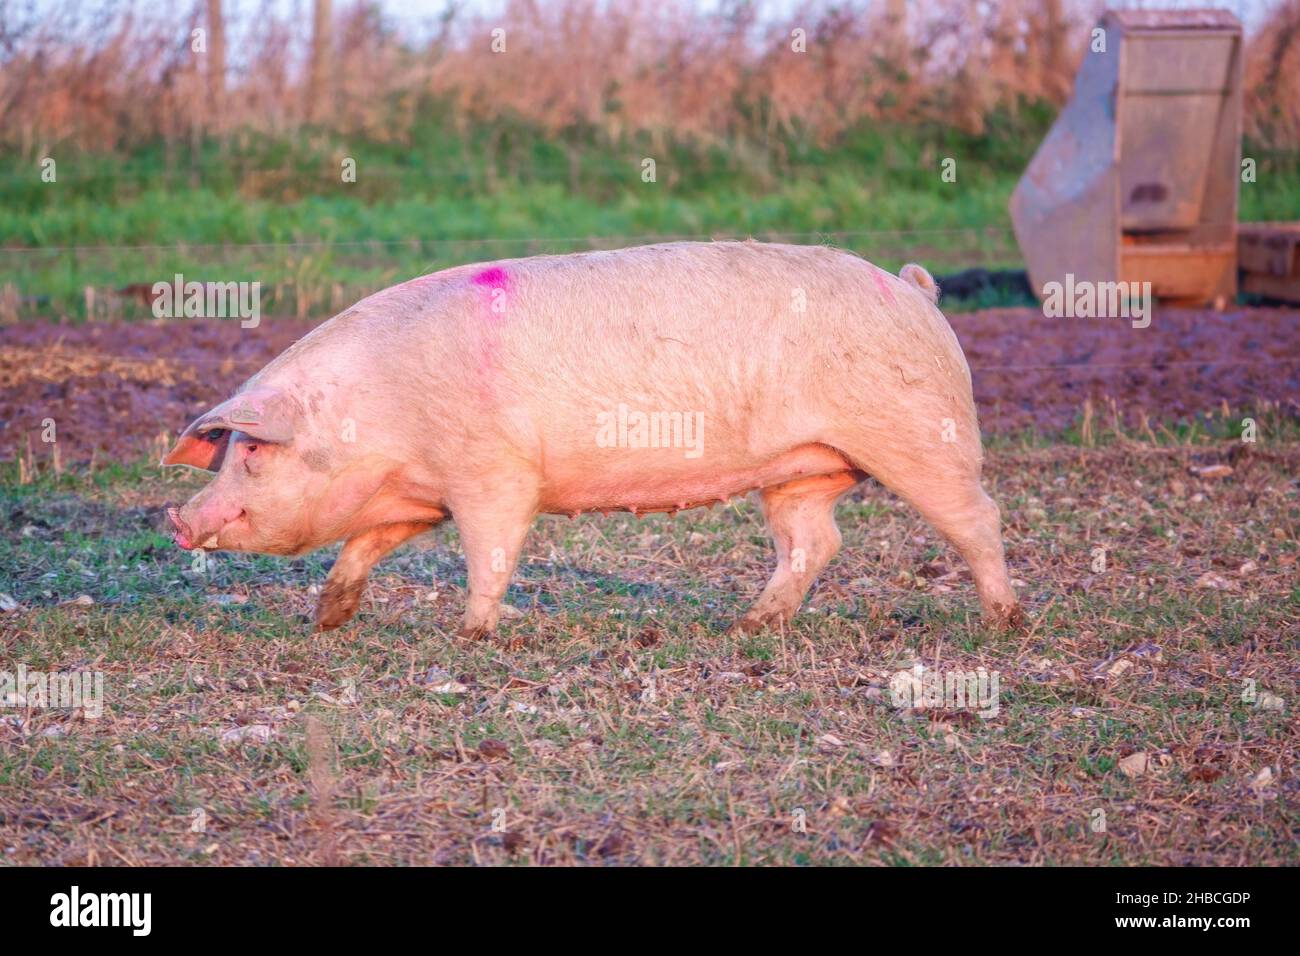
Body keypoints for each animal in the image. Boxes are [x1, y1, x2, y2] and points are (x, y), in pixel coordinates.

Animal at [162, 243, 1019, 639]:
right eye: (229, 454)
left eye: (252, 453)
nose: (178, 519)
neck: (380, 411)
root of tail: (914, 289)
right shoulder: (414, 496)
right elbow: (362, 548)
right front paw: (327, 620)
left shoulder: (493, 473)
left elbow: (492, 551)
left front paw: (469, 633)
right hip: (801, 471)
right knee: (816, 540)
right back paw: (746, 626)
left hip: (920, 435)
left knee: (979, 517)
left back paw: (1001, 620)